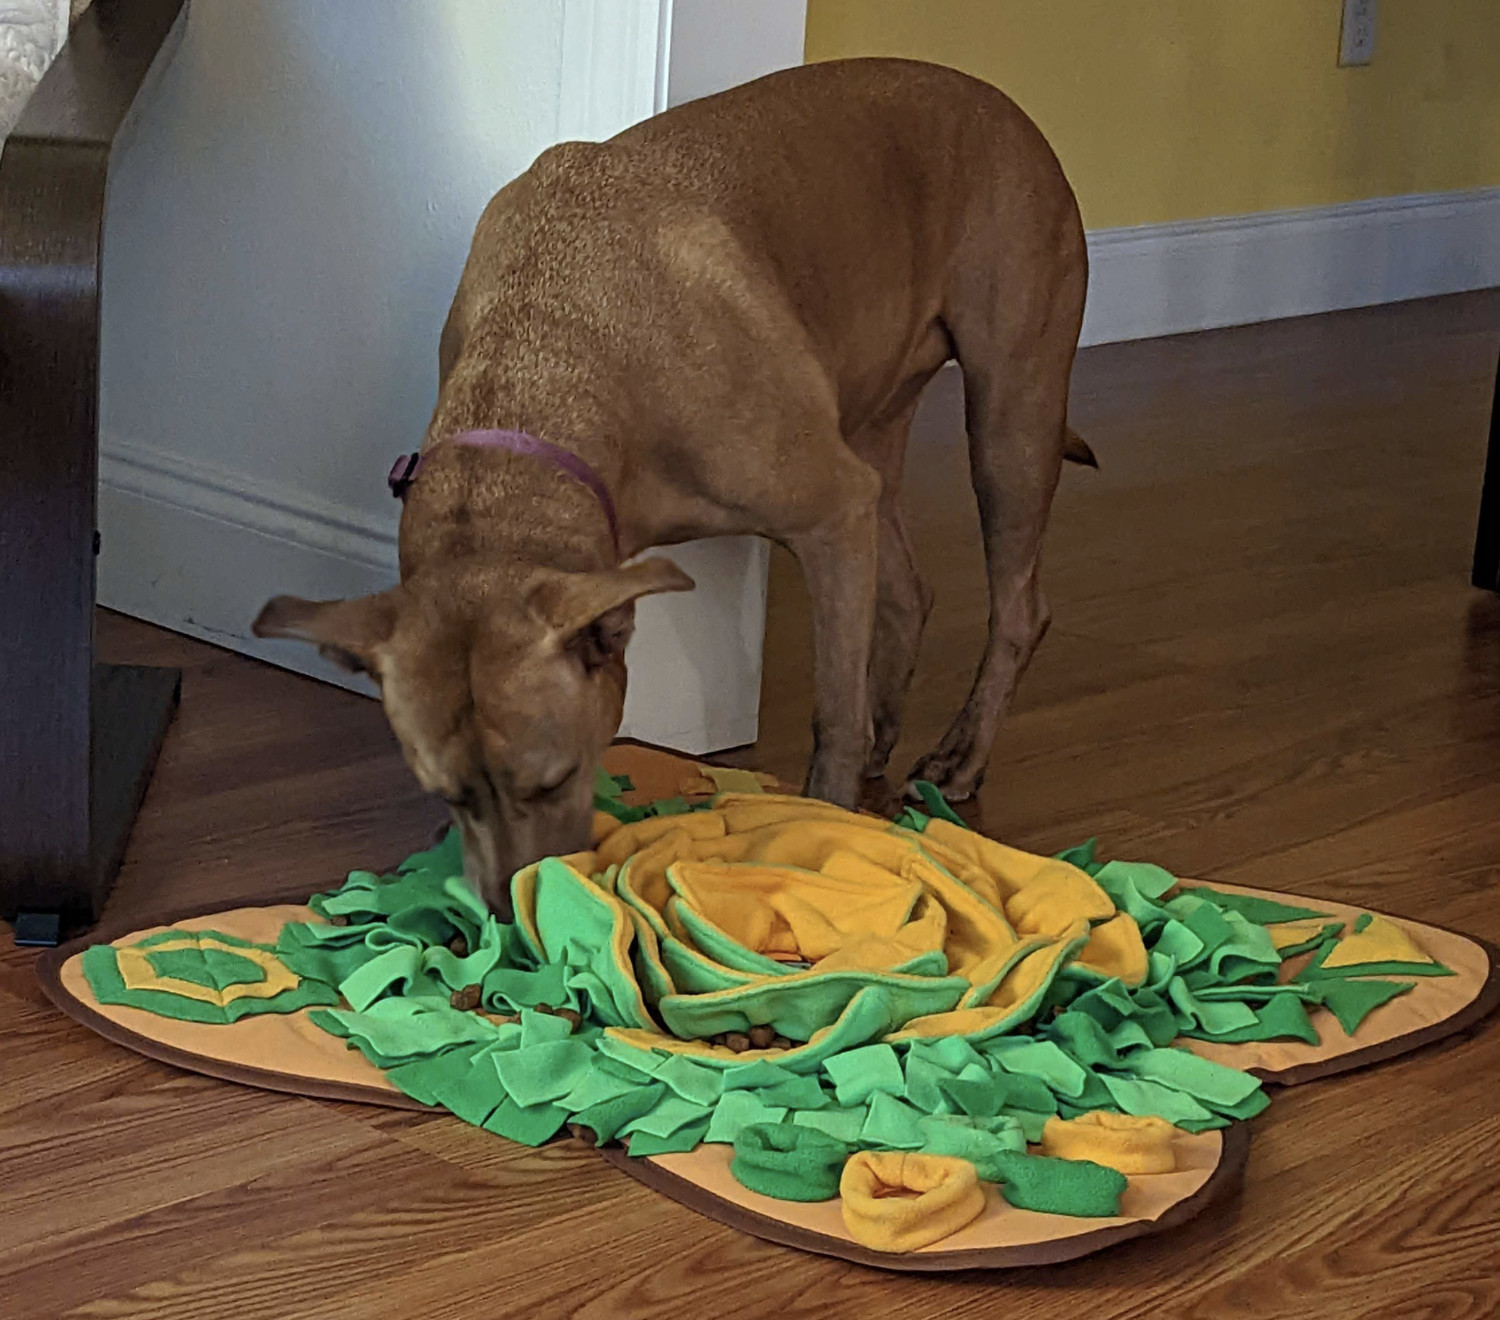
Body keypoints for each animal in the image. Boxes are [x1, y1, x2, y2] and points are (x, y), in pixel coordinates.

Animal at [252, 56, 1086, 912]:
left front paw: (823, 819)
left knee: (1018, 607)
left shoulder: (830, 510)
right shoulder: (842, 500)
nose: (509, 922)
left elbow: (833, 712)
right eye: (449, 798)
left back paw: (960, 757)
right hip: (877, 430)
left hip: (1010, 413)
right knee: (906, 595)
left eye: (555, 780)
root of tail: (999, 101)